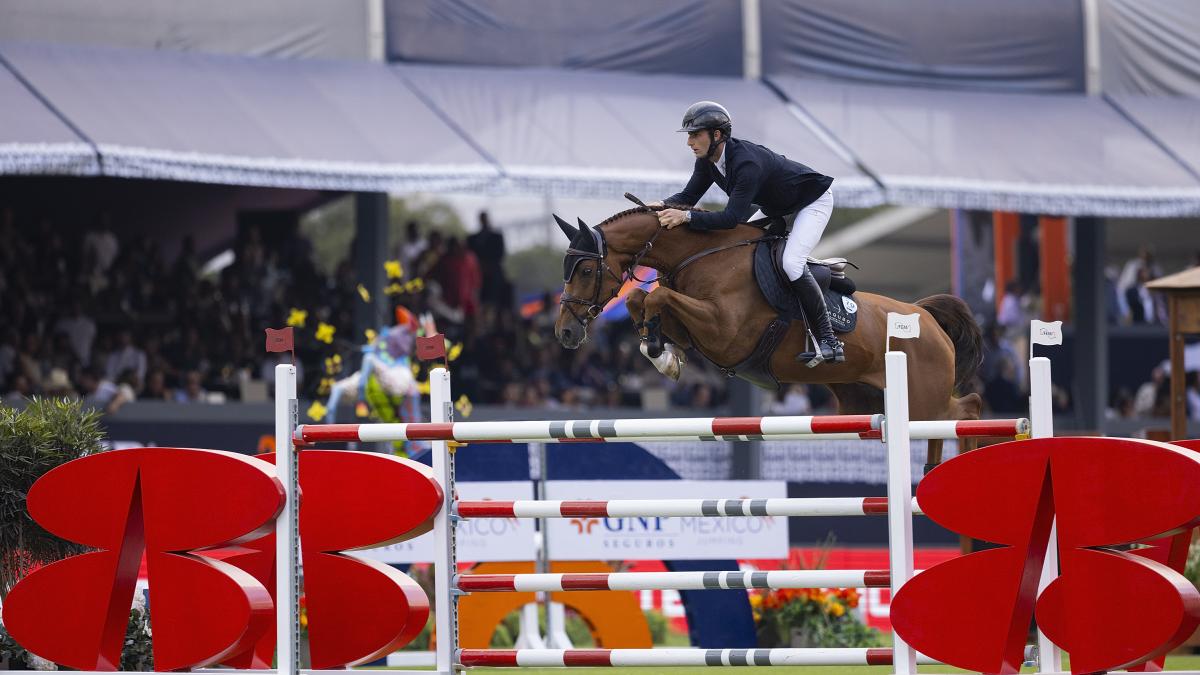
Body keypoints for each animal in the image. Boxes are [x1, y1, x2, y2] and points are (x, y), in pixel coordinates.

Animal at [552, 205, 984, 466]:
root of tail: (926, 317)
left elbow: (657, 295)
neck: (702, 255)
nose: (566, 332)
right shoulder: (697, 328)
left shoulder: (725, 330)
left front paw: (661, 352)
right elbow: (641, 298)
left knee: (967, 410)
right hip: (862, 399)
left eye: (586, 271)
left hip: (924, 401)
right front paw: (662, 353)